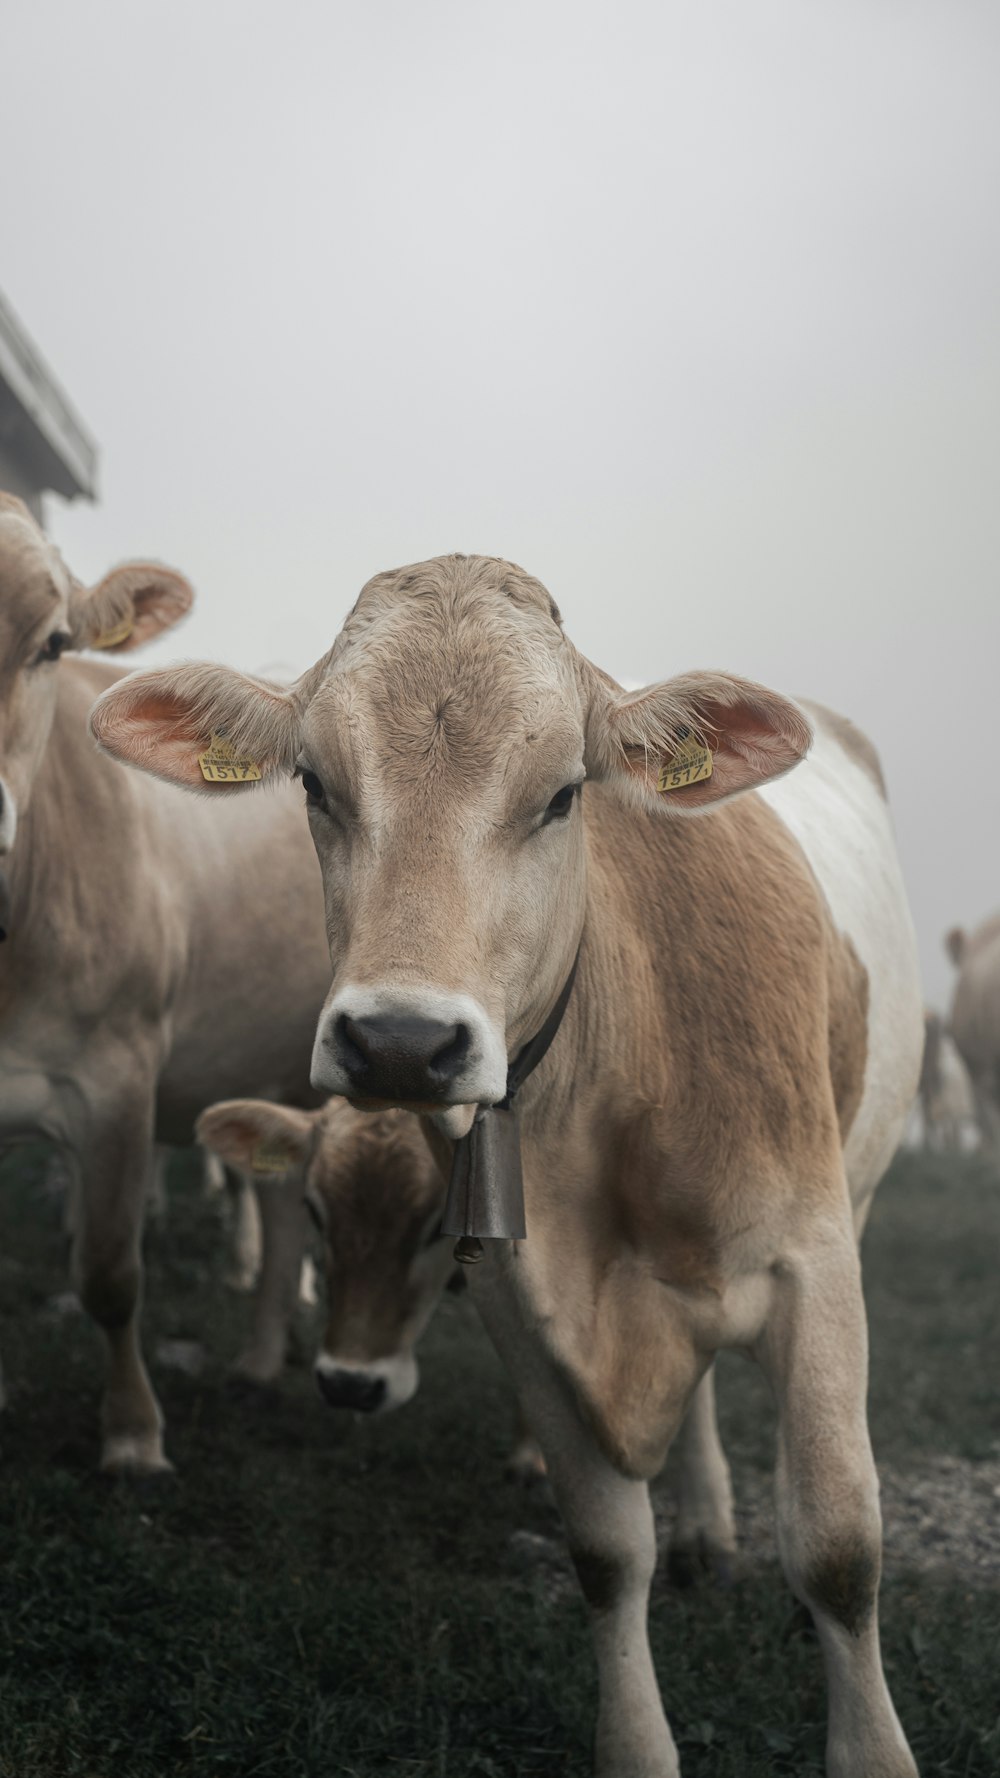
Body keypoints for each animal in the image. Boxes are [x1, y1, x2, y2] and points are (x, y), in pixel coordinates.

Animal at [0, 494, 334, 1465]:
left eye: (52, 643)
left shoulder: (117, 1076)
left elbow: (111, 1273)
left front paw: (133, 1432)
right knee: (282, 1193)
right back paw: (258, 1362)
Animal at [91, 554, 918, 1778]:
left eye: (566, 793)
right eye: (315, 784)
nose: (398, 1040)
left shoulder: (814, 1264)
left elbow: (837, 1546)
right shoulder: (523, 1304)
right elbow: (605, 1549)